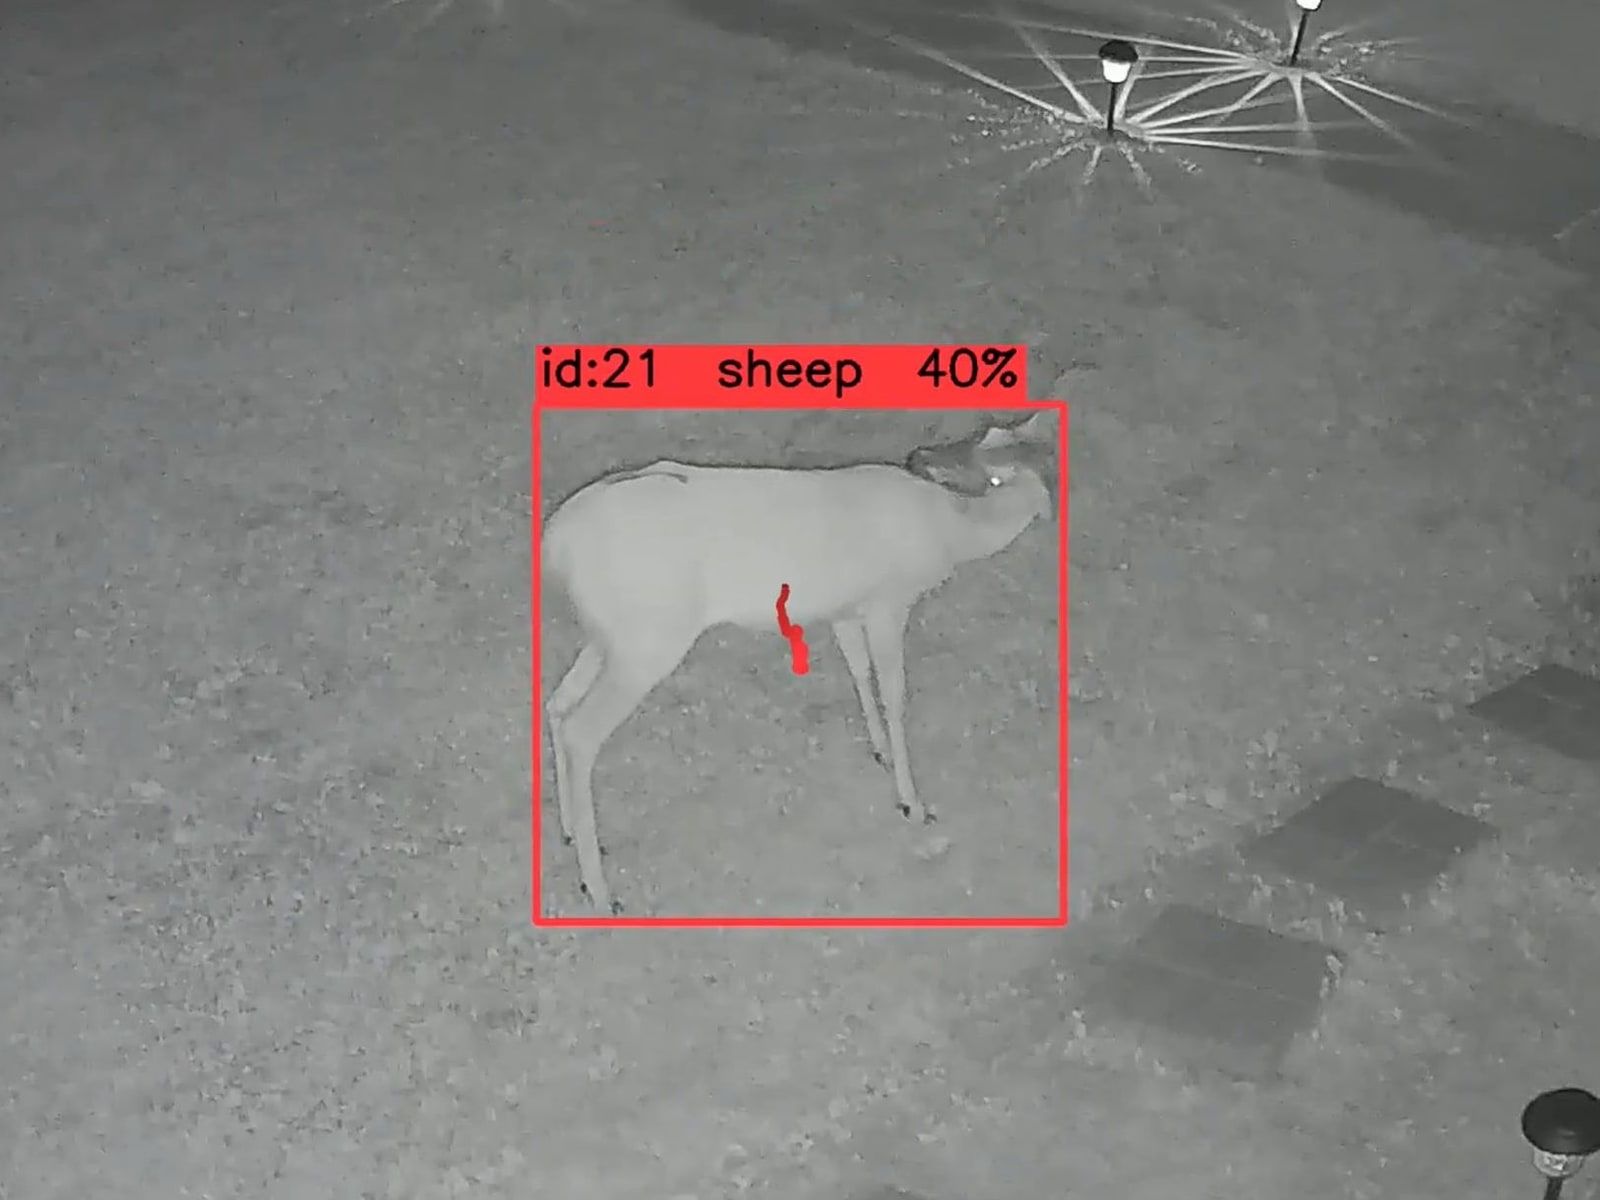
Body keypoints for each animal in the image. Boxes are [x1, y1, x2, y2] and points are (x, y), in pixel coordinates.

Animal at [539, 410, 1057, 913]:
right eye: (999, 473)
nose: (1045, 505)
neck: (949, 530)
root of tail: (556, 545)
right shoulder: (888, 602)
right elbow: (893, 693)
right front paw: (913, 804)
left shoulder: (847, 610)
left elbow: (859, 671)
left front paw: (880, 752)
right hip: (648, 641)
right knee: (582, 731)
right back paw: (600, 891)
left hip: (612, 637)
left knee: (558, 705)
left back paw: (568, 834)